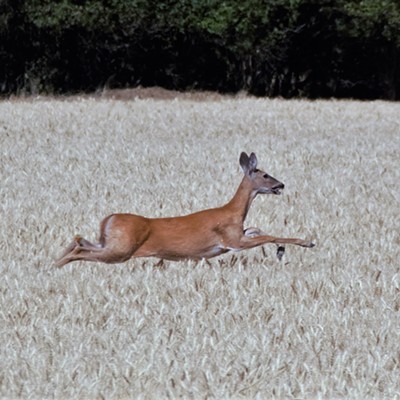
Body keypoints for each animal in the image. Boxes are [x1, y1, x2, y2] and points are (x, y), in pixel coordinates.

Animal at [54, 152, 316, 268]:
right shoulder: (231, 240)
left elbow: (258, 229)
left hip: (110, 243)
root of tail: (108, 219)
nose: (281, 185)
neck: (234, 211)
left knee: (79, 239)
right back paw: (57, 266)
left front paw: (281, 251)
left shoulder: (238, 234)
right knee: (80, 249)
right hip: (121, 250)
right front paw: (306, 242)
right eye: (265, 174)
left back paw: (52, 265)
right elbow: (267, 235)